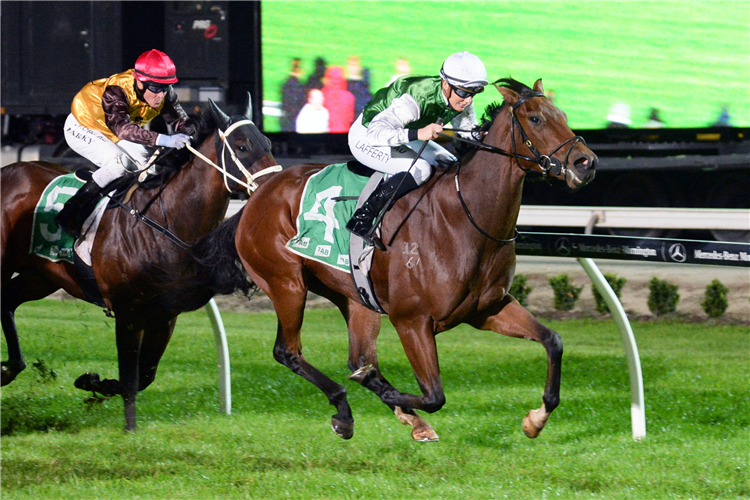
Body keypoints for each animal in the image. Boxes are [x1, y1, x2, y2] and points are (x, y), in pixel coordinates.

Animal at [206, 76, 600, 440]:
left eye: (563, 116)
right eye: (535, 119)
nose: (586, 163)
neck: (464, 217)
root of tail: (260, 193)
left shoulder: (487, 308)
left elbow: (553, 340)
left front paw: (536, 420)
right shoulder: (412, 321)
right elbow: (434, 396)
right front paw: (393, 398)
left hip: (354, 296)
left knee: (358, 357)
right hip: (286, 283)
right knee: (288, 352)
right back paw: (346, 409)